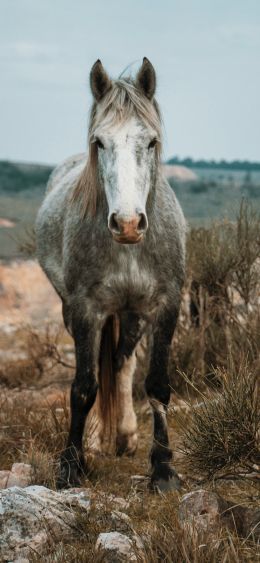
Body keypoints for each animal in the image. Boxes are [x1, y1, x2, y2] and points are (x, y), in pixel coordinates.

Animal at [36, 57, 187, 494]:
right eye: (100, 142)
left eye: (151, 142)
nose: (129, 223)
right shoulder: (86, 310)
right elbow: (83, 387)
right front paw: (71, 466)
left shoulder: (166, 306)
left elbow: (156, 384)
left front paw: (163, 469)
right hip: (72, 310)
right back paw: (96, 440)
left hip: (132, 314)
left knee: (121, 363)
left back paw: (124, 435)